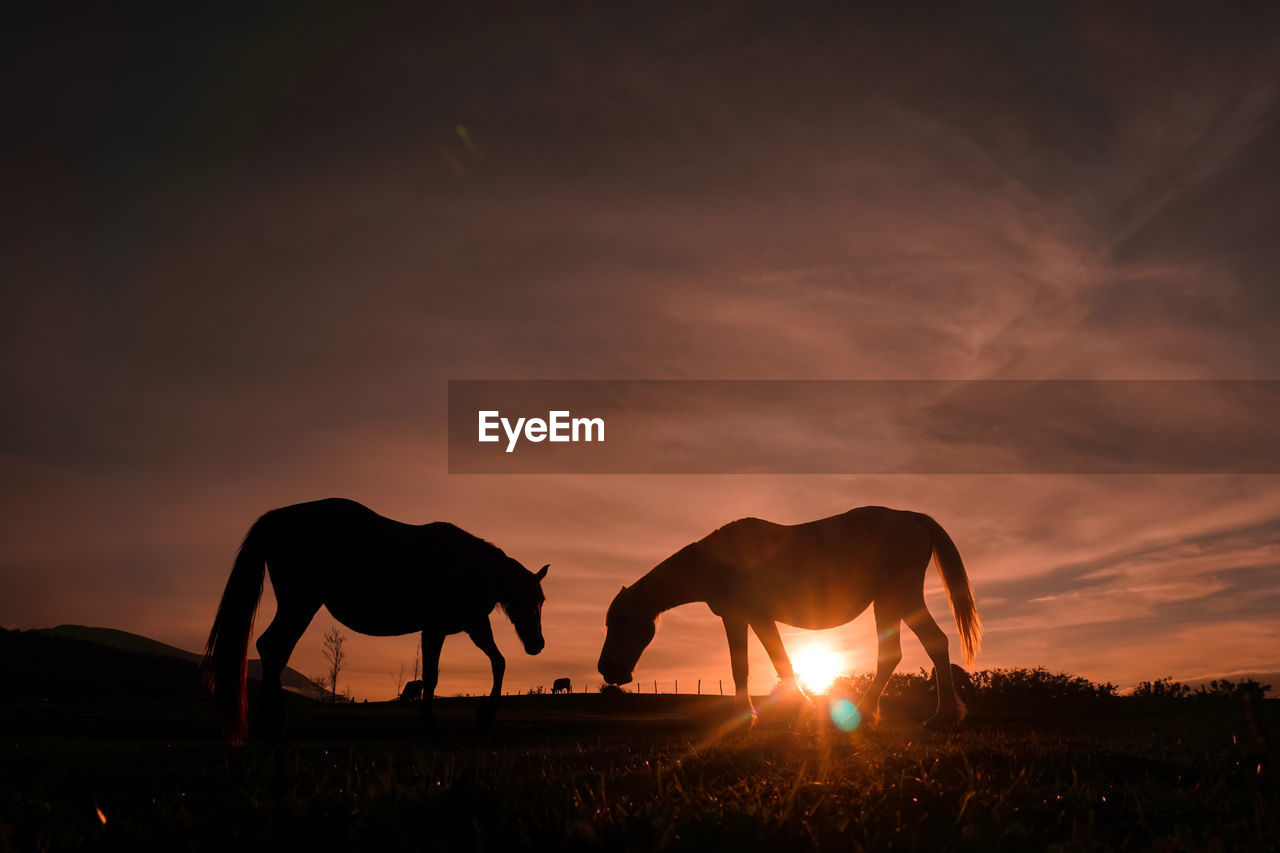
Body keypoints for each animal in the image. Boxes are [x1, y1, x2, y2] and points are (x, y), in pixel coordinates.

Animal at [202, 494, 547, 742]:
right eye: (531, 600)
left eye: (542, 601)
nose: (537, 645)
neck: (470, 566)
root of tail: (277, 518)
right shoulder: (435, 629)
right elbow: (432, 676)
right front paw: (433, 725)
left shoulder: (472, 625)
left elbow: (498, 662)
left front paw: (484, 715)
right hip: (300, 603)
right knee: (274, 648)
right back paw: (270, 727)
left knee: (273, 649)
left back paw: (273, 725)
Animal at [596, 504, 977, 722]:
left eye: (622, 620)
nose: (606, 670)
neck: (716, 562)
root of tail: (910, 519)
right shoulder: (751, 618)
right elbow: (767, 663)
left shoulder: (743, 617)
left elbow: (752, 664)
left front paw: (753, 716)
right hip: (890, 603)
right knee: (904, 651)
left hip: (899, 597)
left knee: (926, 645)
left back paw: (939, 716)